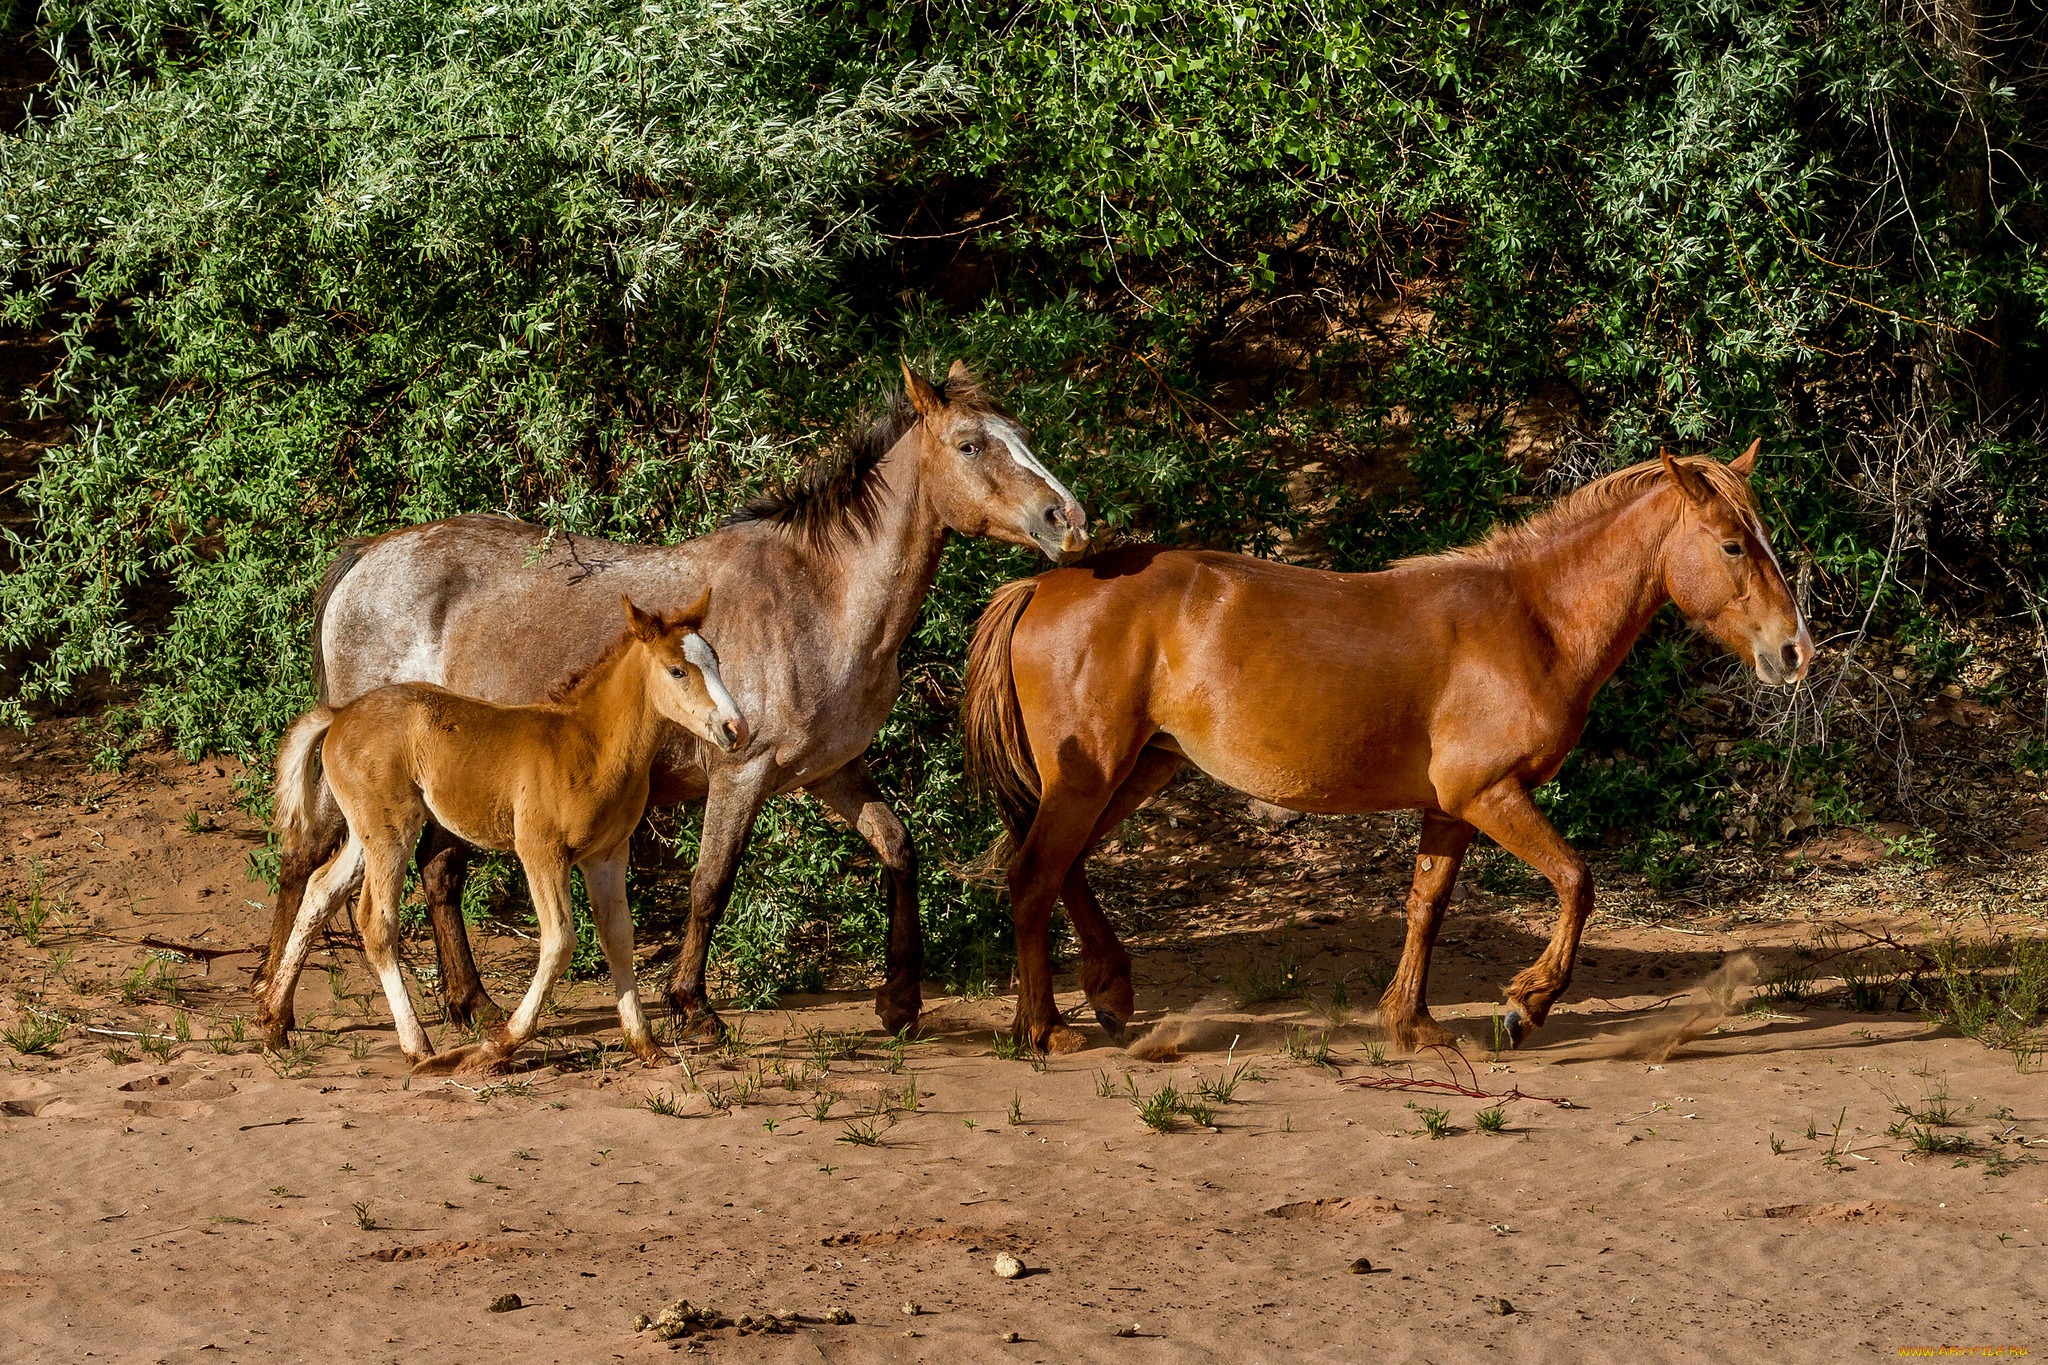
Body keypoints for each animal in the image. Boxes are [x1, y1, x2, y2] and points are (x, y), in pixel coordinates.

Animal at [264, 597, 745, 1080]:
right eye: (677, 670)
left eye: (717, 661)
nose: (736, 728)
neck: (589, 746)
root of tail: (339, 714)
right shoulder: (540, 851)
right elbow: (560, 942)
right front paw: (496, 1047)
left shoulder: (607, 855)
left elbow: (618, 938)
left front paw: (646, 1044)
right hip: (391, 833)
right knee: (376, 923)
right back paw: (417, 1048)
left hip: (371, 831)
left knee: (320, 890)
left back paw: (273, 1021)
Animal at [958, 444, 1810, 1055]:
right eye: (1733, 545)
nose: (1795, 651)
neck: (1532, 619)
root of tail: (1042, 586)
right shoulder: (1490, 794)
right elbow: (1577, 880)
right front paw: (1525, 1005)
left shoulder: (1455, 806)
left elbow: (1425, 906)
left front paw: (1412, 1021)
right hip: (1092, 777)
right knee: (1033, 875)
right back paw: (1044, 1028)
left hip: (1136, 770)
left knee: (1060, 866)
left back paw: (1109, 991)